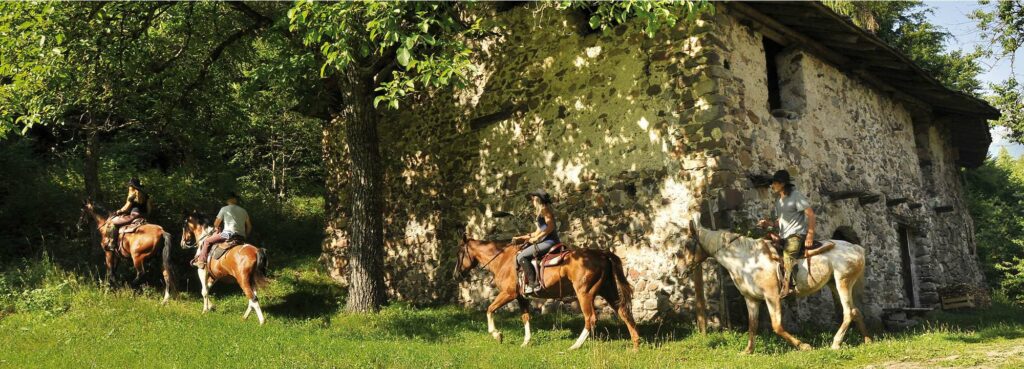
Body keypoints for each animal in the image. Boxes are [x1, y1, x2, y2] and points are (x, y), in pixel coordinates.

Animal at [452, 234, 634, 350]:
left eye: (459, 253)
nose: (455, 275)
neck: (503, 260)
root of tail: (601, 254)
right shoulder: (521, 297)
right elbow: (525, 317)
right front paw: (526, 342)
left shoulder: (508, 294)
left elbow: (489, 309)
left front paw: (497, 335)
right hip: (608, 291)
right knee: (624, 313)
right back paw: (636, 344)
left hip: (585, 294)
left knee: (591, 318)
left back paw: (575, 346)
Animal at [679, 219, 872, 352]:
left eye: (688, 245)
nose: (681, 271)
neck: (746, 260)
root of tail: (856, 248)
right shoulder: (751, 299)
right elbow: (753, 325)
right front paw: (748, 351)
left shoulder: (772, 297)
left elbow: (777, 326)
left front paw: (804, 346)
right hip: (834, 283)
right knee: (856, 311)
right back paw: (868, 341)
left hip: (842, 282)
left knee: (848, 312)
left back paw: (835, 343)